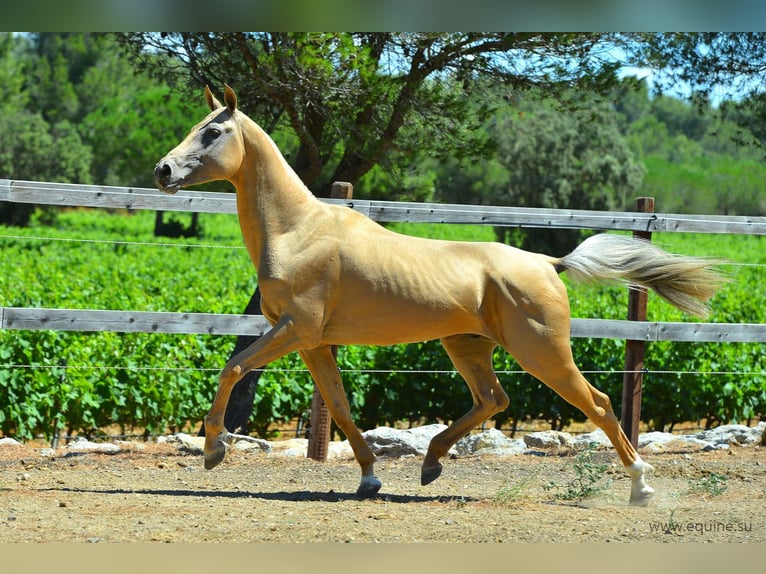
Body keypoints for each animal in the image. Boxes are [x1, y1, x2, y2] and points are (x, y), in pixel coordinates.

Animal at [156, 85, 728, 508]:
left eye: (213, 131)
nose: (163, 170)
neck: (299, 230)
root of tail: (548, 263)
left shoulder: (295, 330)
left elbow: (232, 368)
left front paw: (212, 450)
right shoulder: (314, 343)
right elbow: (339, 406)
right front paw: (369, 478)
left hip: (542, 351)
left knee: (600, 404)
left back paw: (641, 487)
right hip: (467, 346)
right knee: (493, 399)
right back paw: (431, 463)